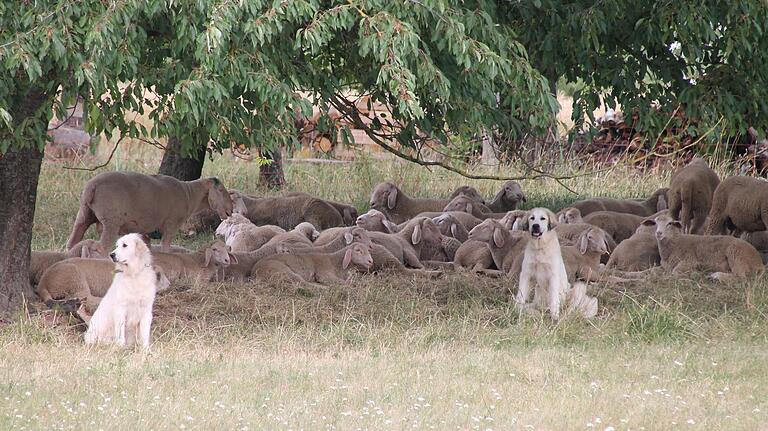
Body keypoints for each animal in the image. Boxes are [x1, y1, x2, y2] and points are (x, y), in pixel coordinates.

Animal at [65, 172, 234, 253]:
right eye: (220, 190)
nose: (230, 210)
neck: (189, 194)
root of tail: (91, 186)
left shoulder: (144, 229)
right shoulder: (172, 223)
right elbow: (166, 247)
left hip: (84, 214)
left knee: (72, 242)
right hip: (111, 221)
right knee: (102, 247)